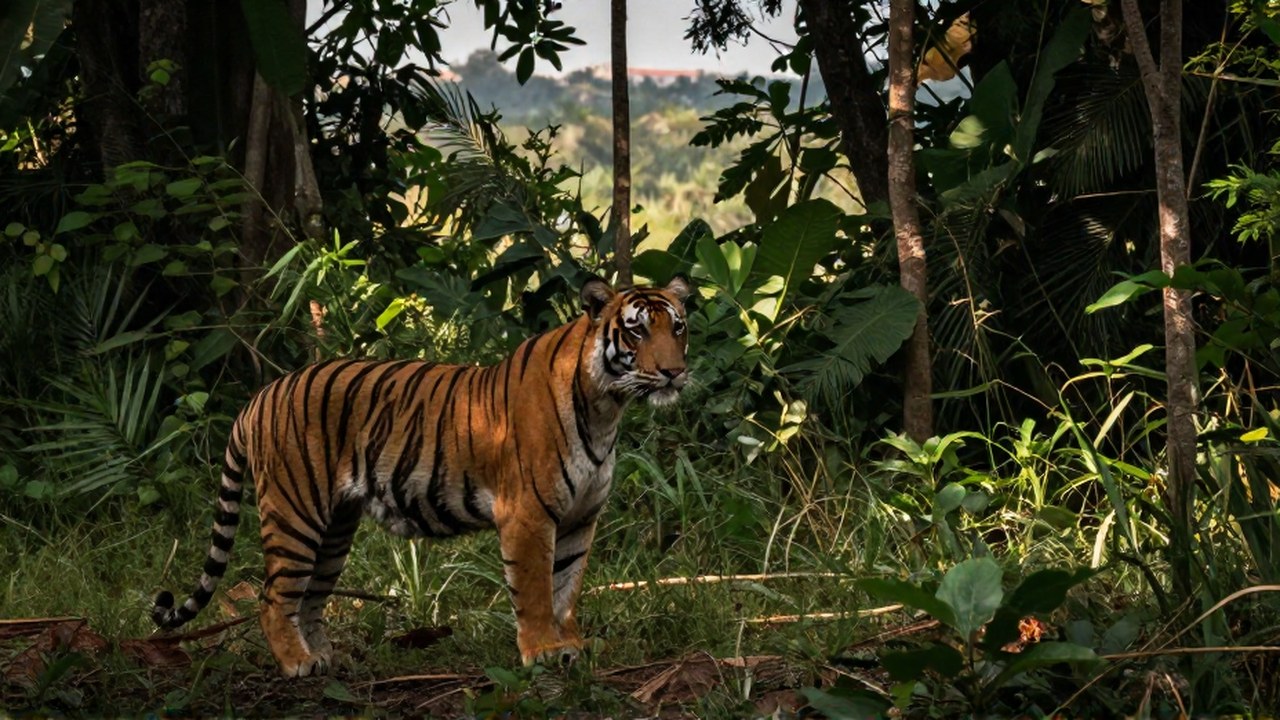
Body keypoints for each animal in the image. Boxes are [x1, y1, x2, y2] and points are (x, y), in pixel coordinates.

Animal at [151, 275, 692, 677]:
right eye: (637, 331)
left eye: (678, 328)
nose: (673, 372)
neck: (605, 408)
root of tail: (259, 398)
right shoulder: (528, 515)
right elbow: (537, 590)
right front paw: (541, 651)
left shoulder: (581, 517)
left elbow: (567, 589)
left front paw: (571, 646)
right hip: (295, 512)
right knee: (272, 598)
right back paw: (297, 664)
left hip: (334, 528)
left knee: (310, 597)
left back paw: (323, 657)